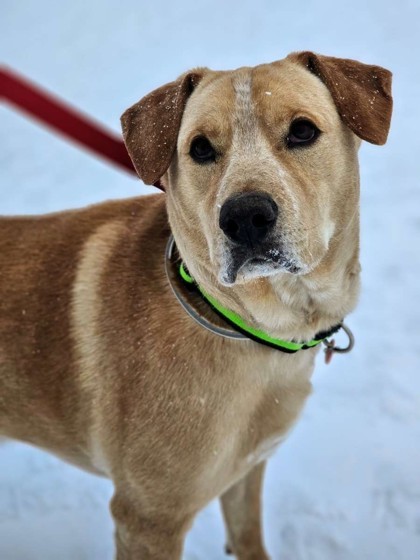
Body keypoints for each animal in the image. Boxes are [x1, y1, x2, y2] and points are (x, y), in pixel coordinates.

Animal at [1, 51, 392, 556]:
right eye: (200, 148)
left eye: (303, 131)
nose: (245, 216)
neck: (255, 328)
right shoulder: (148, 519)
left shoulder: (246, 469)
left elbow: (247, 535)